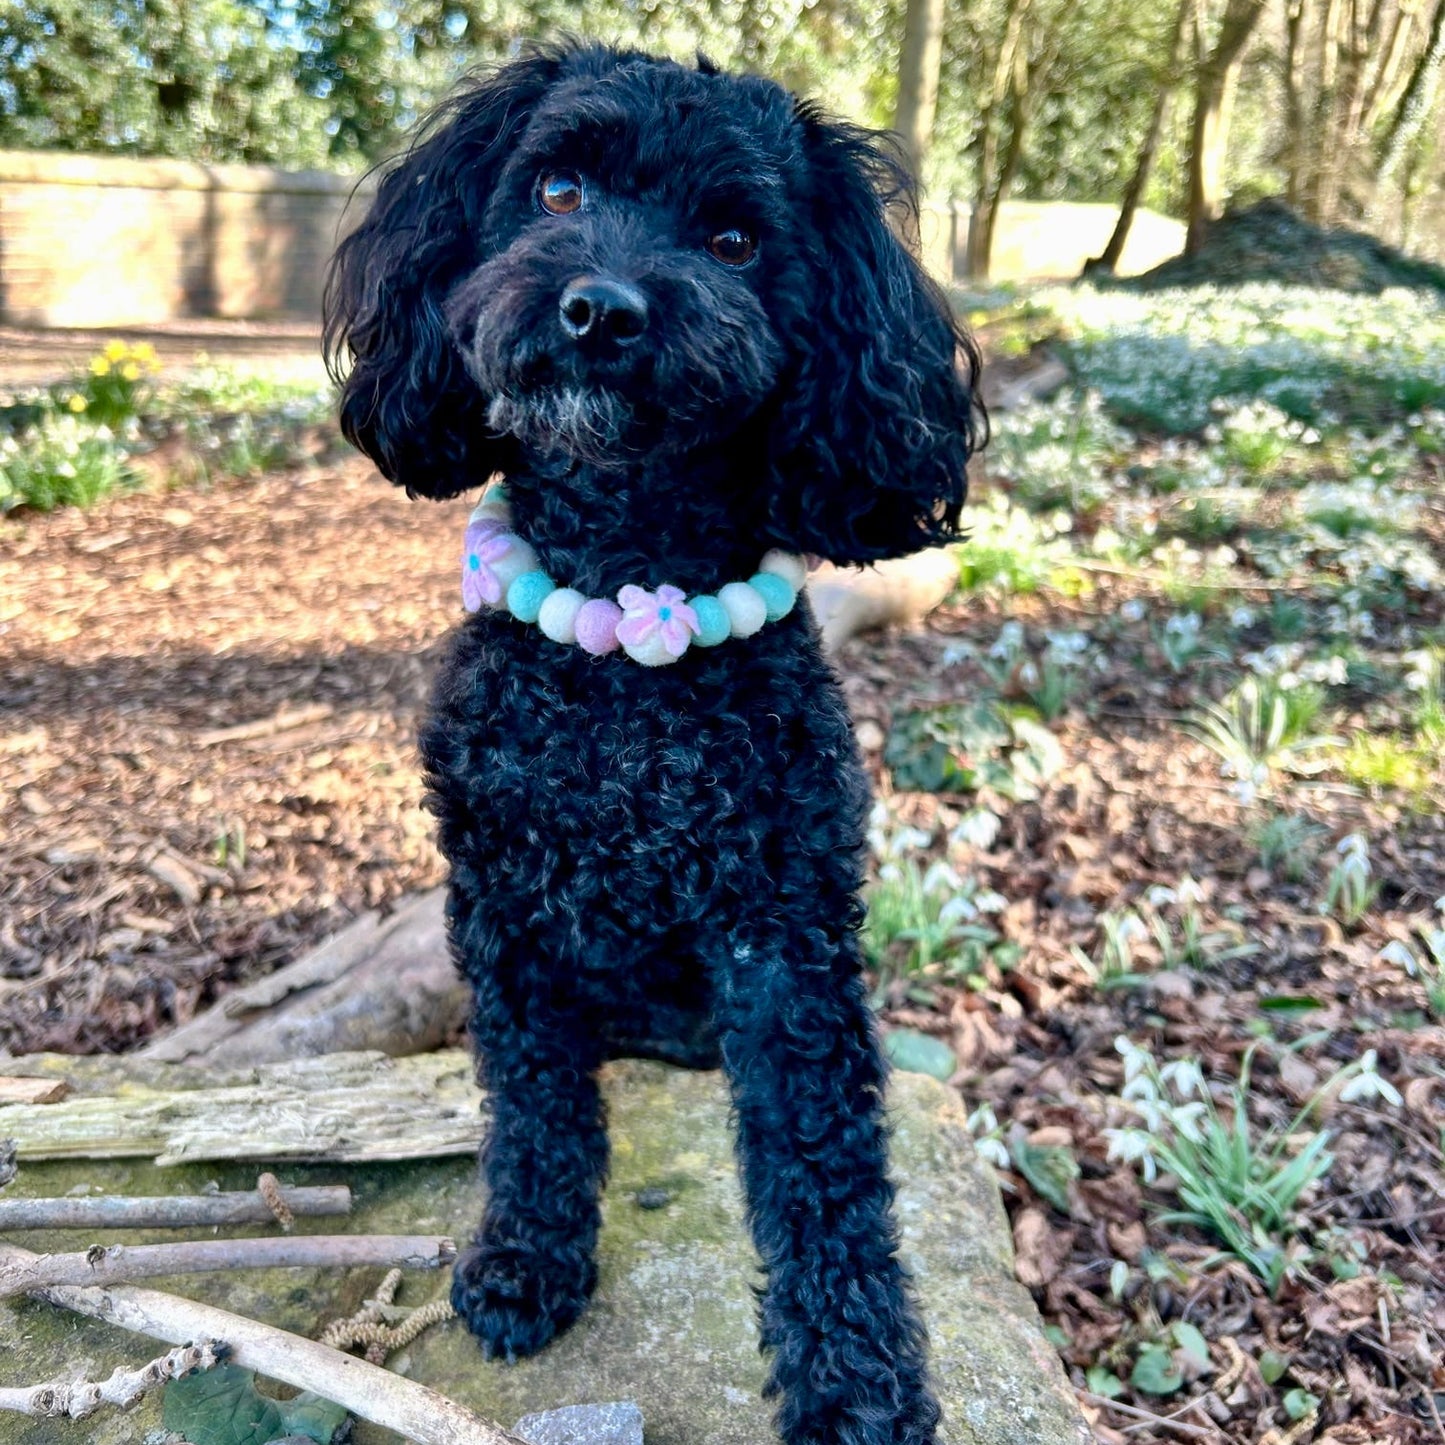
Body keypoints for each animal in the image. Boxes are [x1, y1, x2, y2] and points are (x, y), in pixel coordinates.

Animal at [326, 42, 982, 1445]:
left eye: (734, 239)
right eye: (557, 188)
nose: (599, 309)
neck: (624, 636)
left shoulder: (781, 934)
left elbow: (821, 1170)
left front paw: (858, 1381)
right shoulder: (505, 914)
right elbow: (535, 1106)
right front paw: (527, 1260)